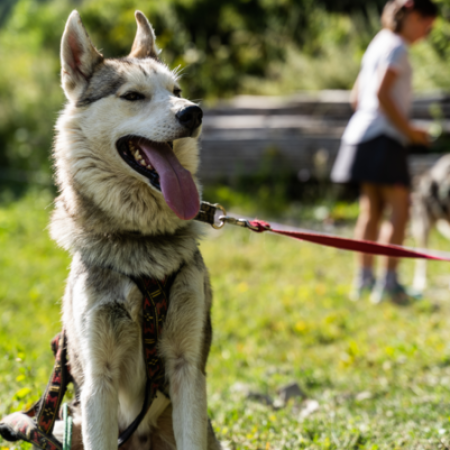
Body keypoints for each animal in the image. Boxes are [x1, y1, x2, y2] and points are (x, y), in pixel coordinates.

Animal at [49, 9, 221, 450]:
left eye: (177, 90)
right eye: (132, 96)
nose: (193, 113)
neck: (141, 243)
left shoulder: (187, 366)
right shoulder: (99, 378)